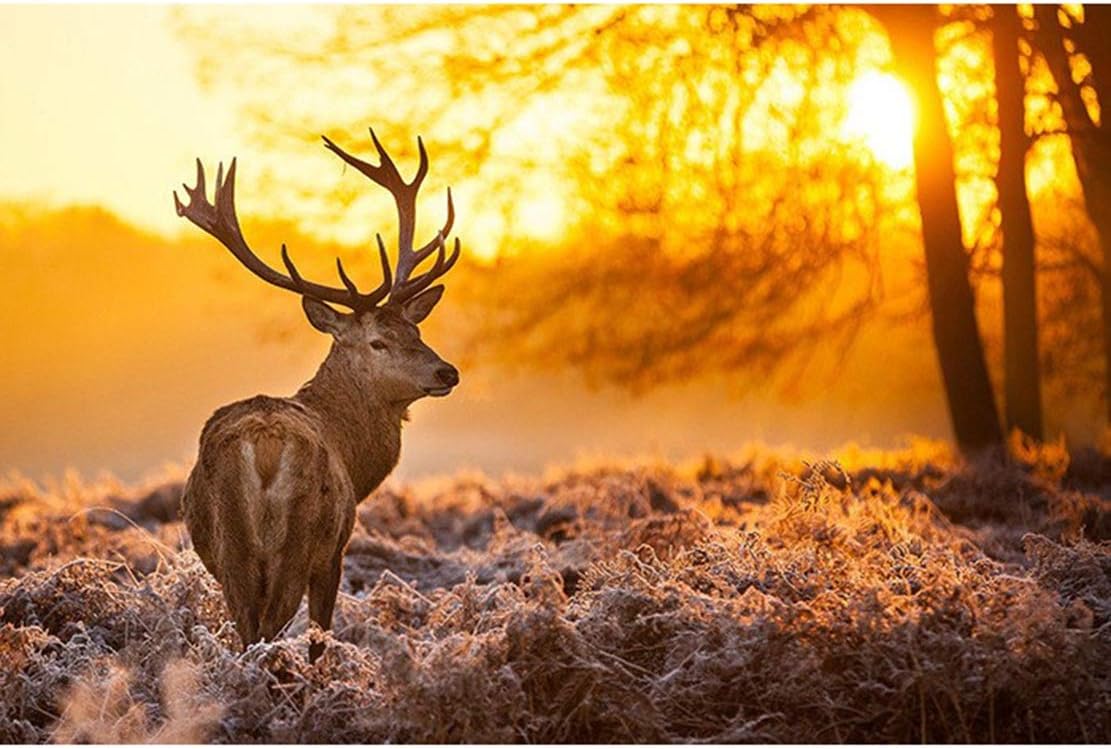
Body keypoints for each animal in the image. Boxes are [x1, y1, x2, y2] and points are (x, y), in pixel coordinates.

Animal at [173, 128, 460, 659]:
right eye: (378, 341)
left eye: (416, 330)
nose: (447, 372)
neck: (354, 456)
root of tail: (264, 445)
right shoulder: (335, 551)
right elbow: (320, 635)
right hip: (300, 540)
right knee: (270, 629)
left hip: (231, 549)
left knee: (247, 630)